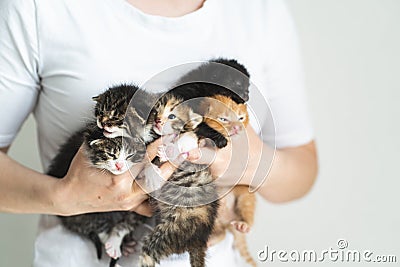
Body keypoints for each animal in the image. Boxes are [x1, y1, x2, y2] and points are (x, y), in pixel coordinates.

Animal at [137, 92, 219, 267]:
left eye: (172, 116)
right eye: (156, 111)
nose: (158, 121)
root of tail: (199, 240)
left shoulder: (193, 142)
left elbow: (185, 139)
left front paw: (170, 150)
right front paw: (152, 173)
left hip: (175, 228)